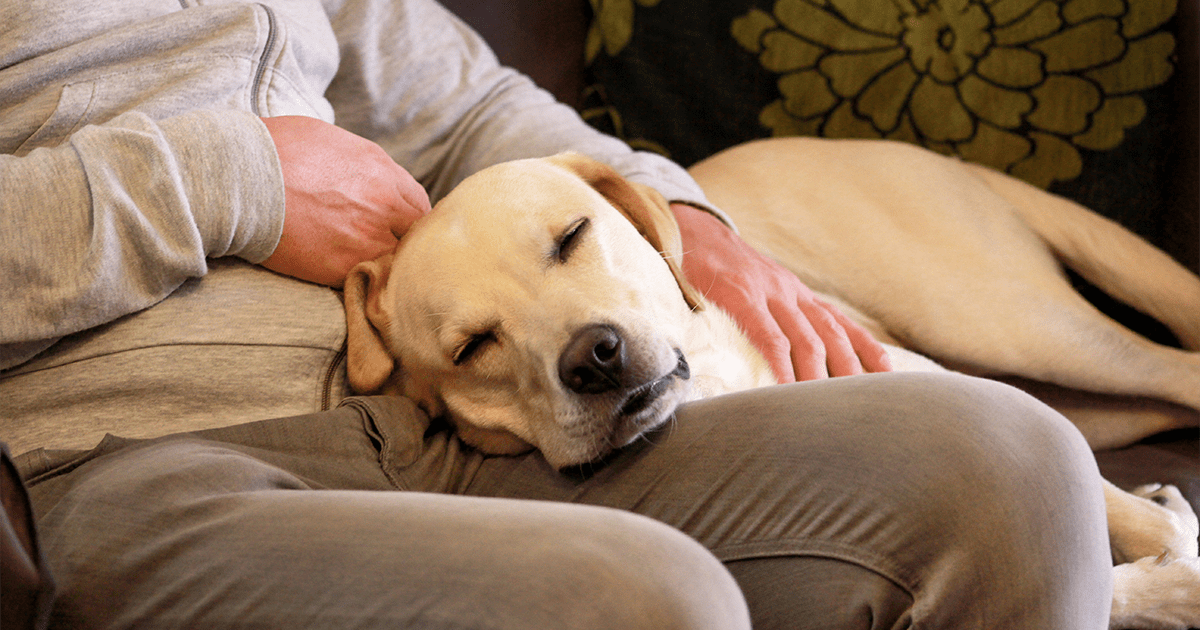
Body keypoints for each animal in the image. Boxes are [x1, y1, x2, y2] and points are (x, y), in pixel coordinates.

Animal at [345, 148, 1200, 628]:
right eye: (472, 346)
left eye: (572, 236)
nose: (595, 357)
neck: (710, 382)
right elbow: (1109, 563)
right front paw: (1173, 577)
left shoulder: (912, 367)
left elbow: (1119, 516)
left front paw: (1172, 553)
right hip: (1065, 383)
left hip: (1006, 325)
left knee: (1168, 374)